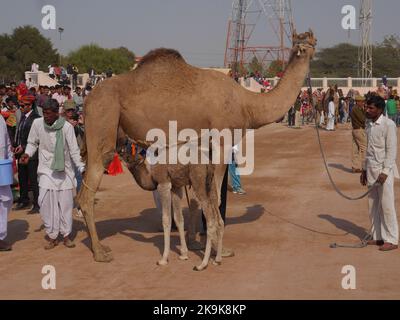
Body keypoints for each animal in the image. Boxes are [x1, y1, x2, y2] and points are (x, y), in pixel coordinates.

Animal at [77, 29, 316, 262]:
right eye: (305, 40)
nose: (311, 41)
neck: (247, 105)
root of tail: (88, 99)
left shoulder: (201, 149)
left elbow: (195, 201)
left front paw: (194, 243)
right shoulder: (221, 142)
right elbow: (215, 197)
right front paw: (221, 250)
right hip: (103, 115)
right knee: (90, 186)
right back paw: (100, 252)